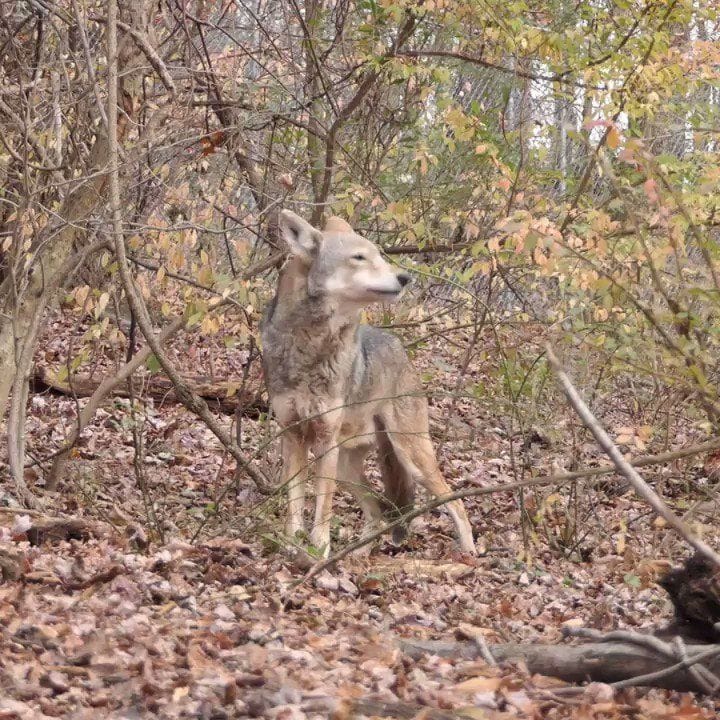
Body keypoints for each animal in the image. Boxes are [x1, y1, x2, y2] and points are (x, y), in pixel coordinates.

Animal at [261, 210, 476, 557]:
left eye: (379, 254)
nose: (405, 278)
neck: (310, 346)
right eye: (360, 257)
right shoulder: (293, 435)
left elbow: (323, 507)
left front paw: (319, 552)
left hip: (411, 457)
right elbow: (296, 505)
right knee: (376, 511)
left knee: (454, 502)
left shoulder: (325, 440)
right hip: (348, 468)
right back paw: (358, 553)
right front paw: (294, 548)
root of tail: (401, 349)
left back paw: (469, 551)